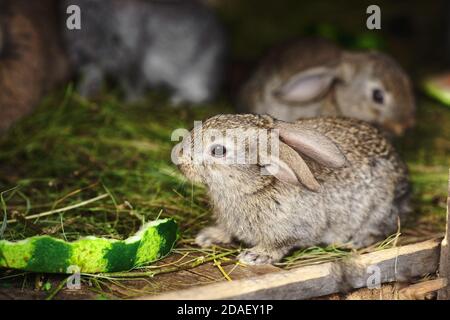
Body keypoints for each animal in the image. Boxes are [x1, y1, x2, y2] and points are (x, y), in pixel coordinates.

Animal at [61, 0, 227, 104]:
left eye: (116, 38)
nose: (79, 57)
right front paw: (82, 95)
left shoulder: (135, 61)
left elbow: (133, 83)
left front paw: (132, 102)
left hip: (199, 74)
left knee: (202, 94)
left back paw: (176, 99)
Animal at [173, 114, 412, 264]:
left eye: (218, 150)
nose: (180, 159)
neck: (255, 187)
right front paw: (208, 236)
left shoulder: (294, 229)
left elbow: (281, 244)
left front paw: (256, 256)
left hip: (377, 210)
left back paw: (353, 241)